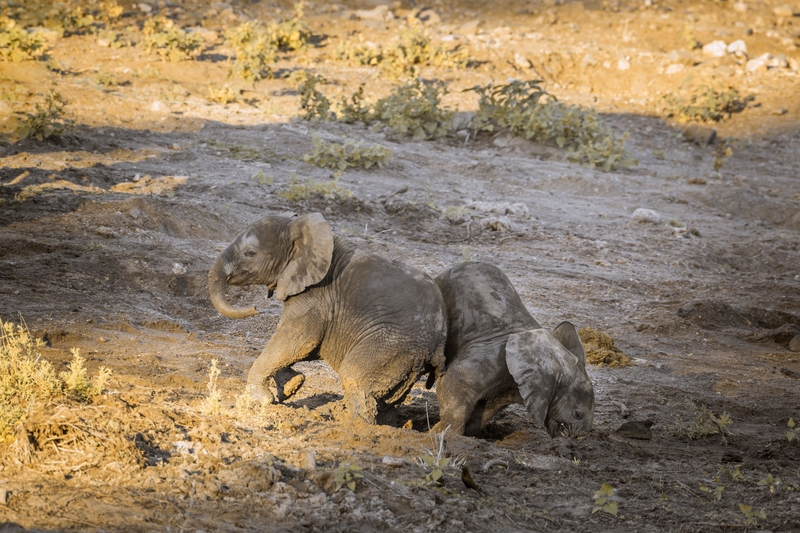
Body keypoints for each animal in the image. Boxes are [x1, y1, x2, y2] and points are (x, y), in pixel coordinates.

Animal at [209, 212, 446, 424]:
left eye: (250, 253)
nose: (255, 308)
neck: (300, 228)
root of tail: (439, 341)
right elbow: (295, 345)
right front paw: (292, 385)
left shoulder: (316, 294)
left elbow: (300, 339)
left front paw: (261, 400)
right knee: (388, 398)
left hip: (392, 343)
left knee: (354, 376)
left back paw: (354, 429)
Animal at [432, 262, 592, 436]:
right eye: (577, 414)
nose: (574, 436)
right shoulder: (495, 356)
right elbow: (453, 382)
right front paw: (444, 436)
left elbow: (484, 409)